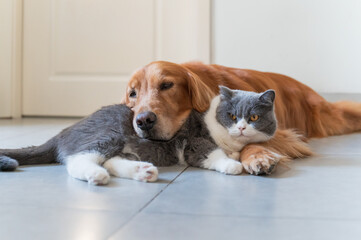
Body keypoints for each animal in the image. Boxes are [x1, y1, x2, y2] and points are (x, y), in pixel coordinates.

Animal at [0, 87, 278, 185]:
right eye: (232, 115)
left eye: (254, 118)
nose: (241, 127)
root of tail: (62, 133)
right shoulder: (195, 142)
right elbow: (213, 153)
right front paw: (232, 164)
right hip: (108, 136)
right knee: (79, 160)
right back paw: (96, 175)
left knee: (112, 161)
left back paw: (144, 172)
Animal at [123, 60, 360, 172]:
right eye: (132, 94)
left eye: (166, 85)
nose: (144, 120)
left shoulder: (280, 132)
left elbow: (250, 140)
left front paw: (257, 157)